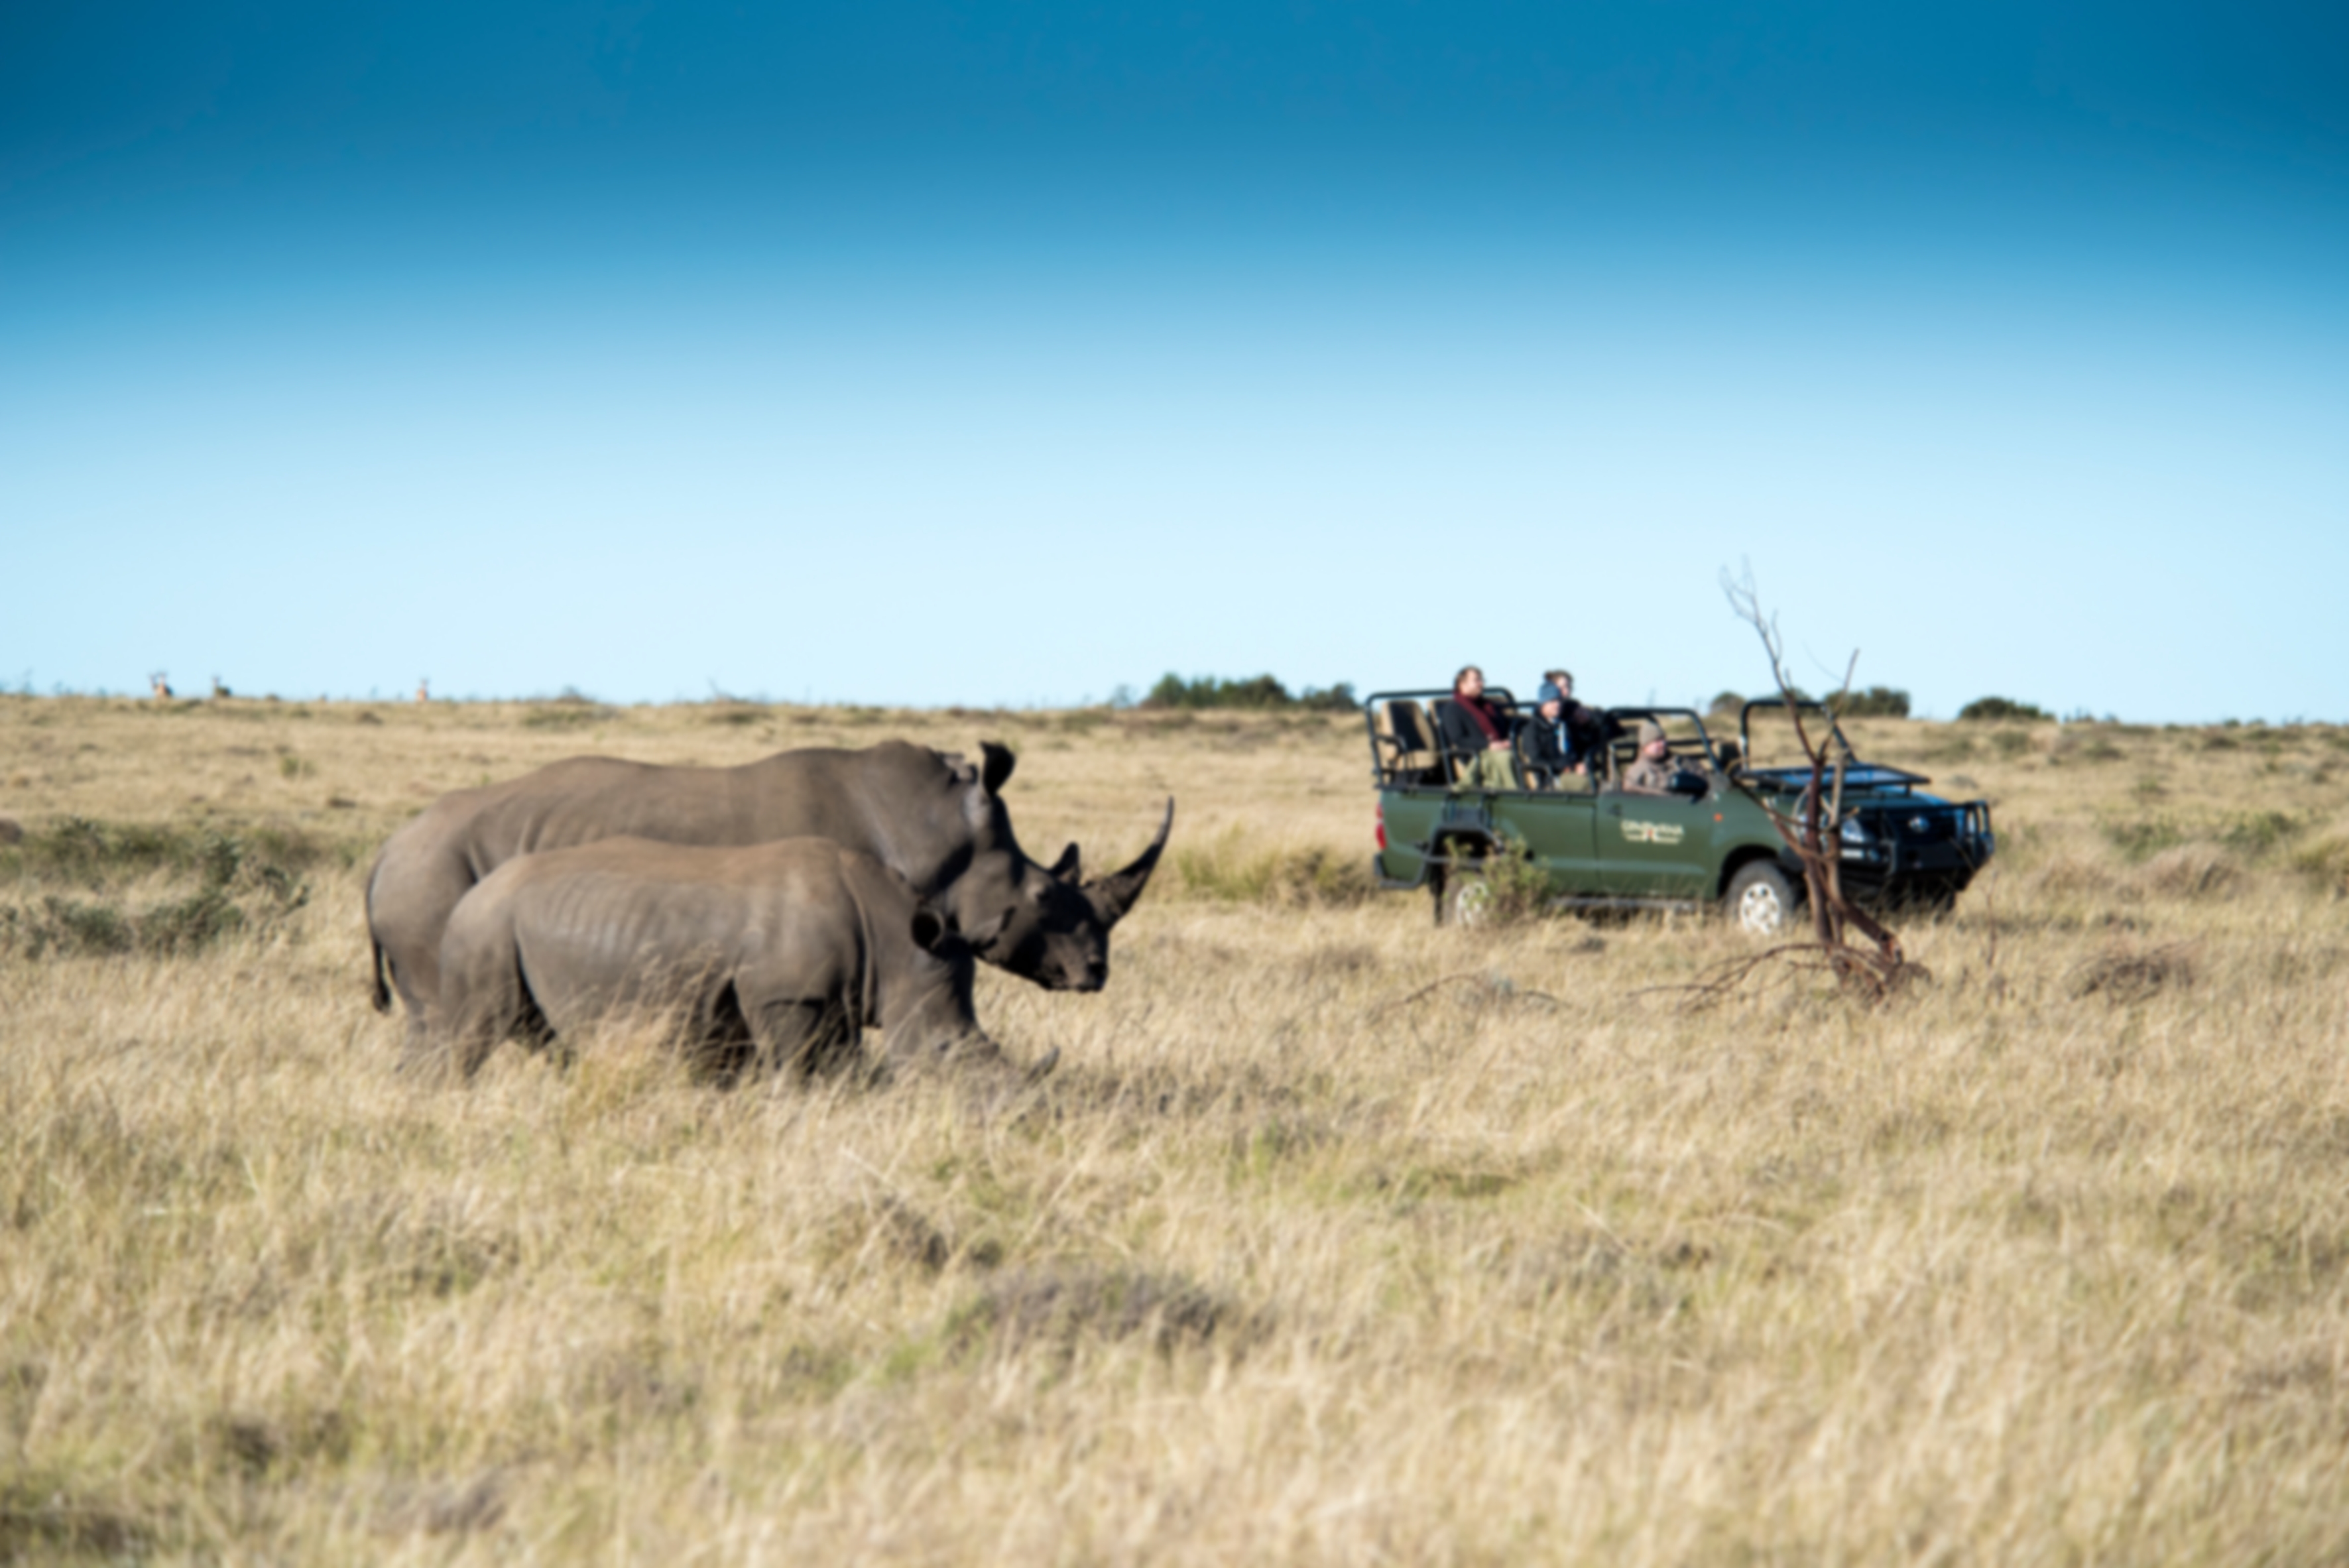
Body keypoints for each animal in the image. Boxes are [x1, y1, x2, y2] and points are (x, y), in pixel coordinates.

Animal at [367, 740, 1170, 1058]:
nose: (1095, 973)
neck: (931, 831)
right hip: (432, 878)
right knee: (442, 1019)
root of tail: (385, 850)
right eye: (1043, 893)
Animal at [434, 836, 1047, 1082]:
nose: (1014, 1114)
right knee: (473, 1033)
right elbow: (795, 1071)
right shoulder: (787, 995)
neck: (895, 941)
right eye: (943, 1051)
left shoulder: (837, 999)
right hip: (486, 930)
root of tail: (472, 892)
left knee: (547, 1037)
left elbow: (840, 1068)